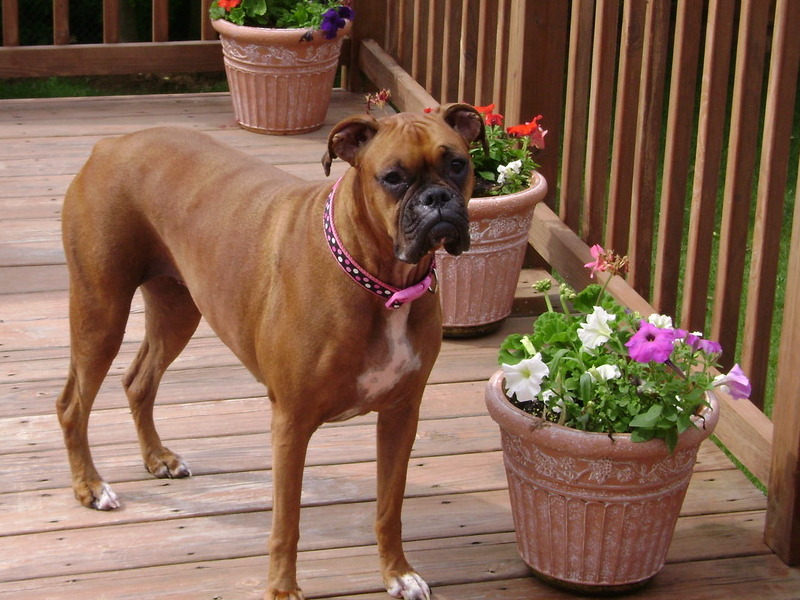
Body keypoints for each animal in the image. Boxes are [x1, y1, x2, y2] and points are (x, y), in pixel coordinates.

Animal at [59, 104, 484, 600]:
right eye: (393, 177)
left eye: (458, 164)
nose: (437, 199)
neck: (381, 282)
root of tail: (111, 144)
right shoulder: (291, 424)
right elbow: (287, 522)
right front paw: (283, 590)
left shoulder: (401, 414)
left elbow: (389, 507)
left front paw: (396, 571)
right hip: (100, 311)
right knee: (72, 405)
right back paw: (90, 486)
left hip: (177, 309)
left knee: (138, 381)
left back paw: (157, 457)